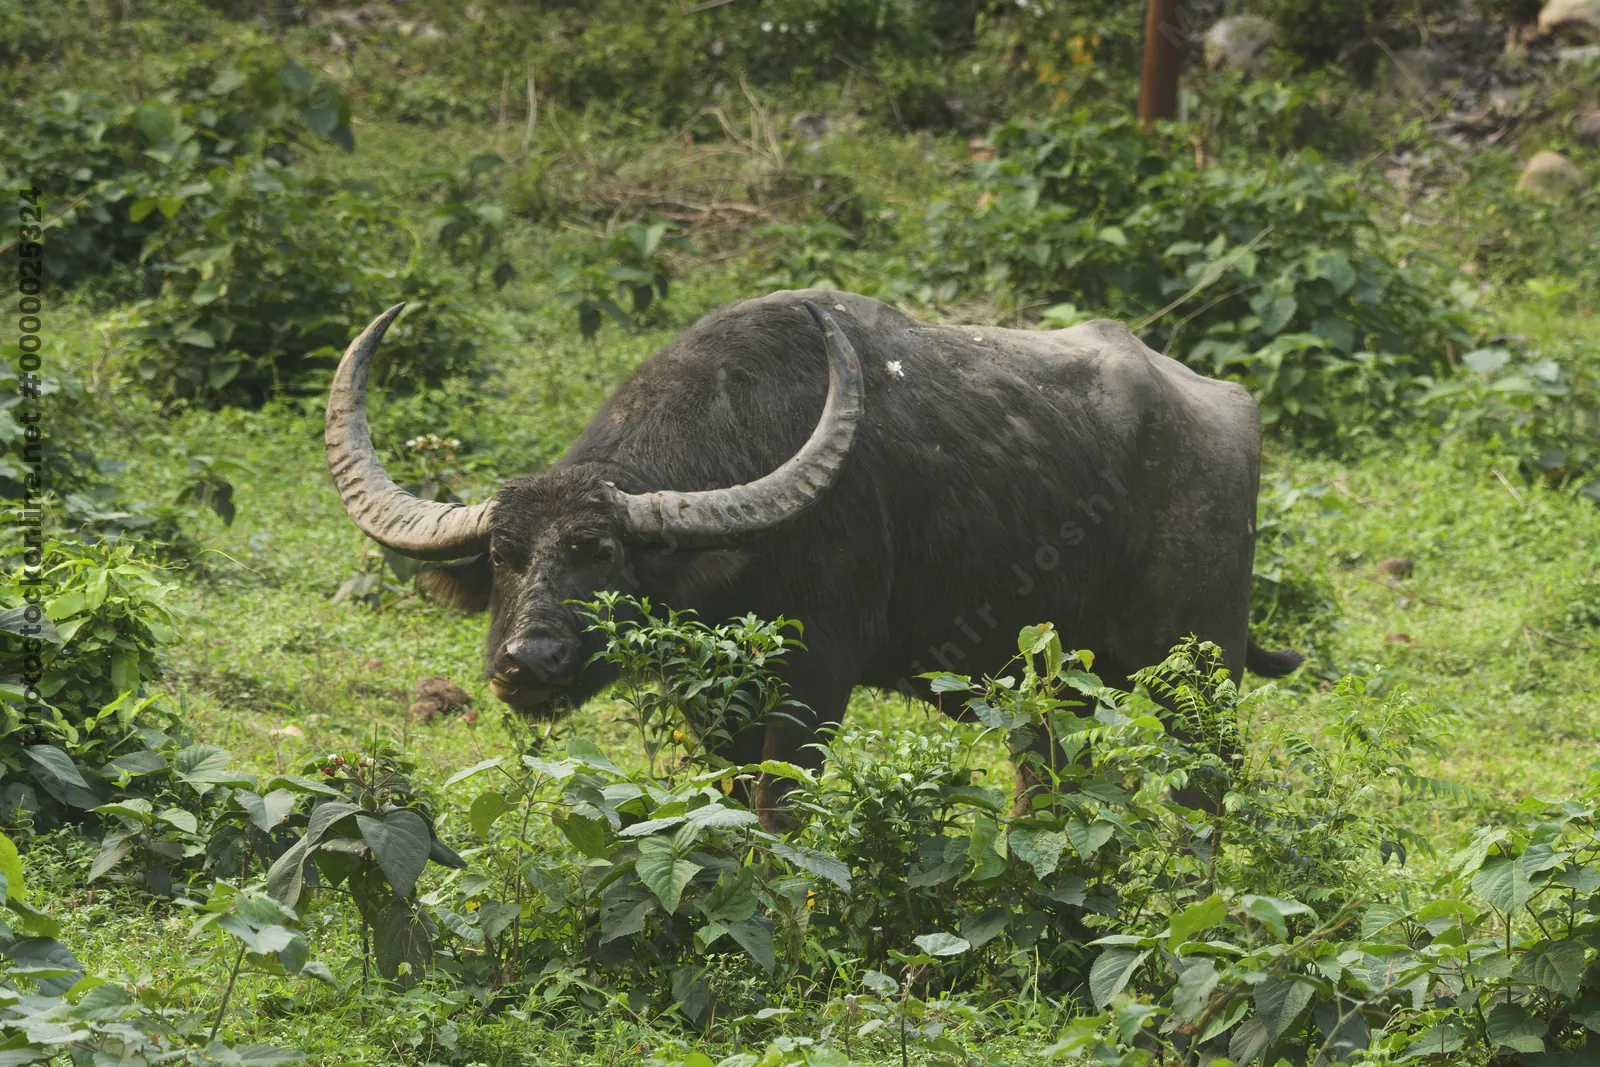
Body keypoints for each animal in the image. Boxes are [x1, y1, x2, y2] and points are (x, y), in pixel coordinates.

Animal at [326, 291, 1302, 819]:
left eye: (599, 551)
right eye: (504, 554)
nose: (529, 661)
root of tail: (1228, 410)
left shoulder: (816, 680)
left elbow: (777, 807)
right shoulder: (710, 698)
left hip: (1200, 674)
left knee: (1204, 787)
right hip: (1051, 685)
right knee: (1046, 774)